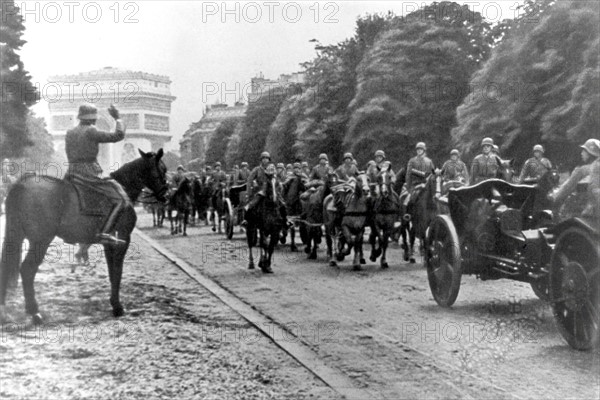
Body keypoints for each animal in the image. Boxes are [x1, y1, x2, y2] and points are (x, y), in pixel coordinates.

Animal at [0, 150, 166, 324]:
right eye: (163, 169)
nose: (165, 194)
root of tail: (21, 184)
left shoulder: (109, 244)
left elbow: (112, 272)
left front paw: (113, 303)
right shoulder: (123, 239)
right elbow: (117, 271)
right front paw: (118, 306)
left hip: (17, 236)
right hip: (40, 241)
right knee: (27, 270)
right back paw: (34, 312)